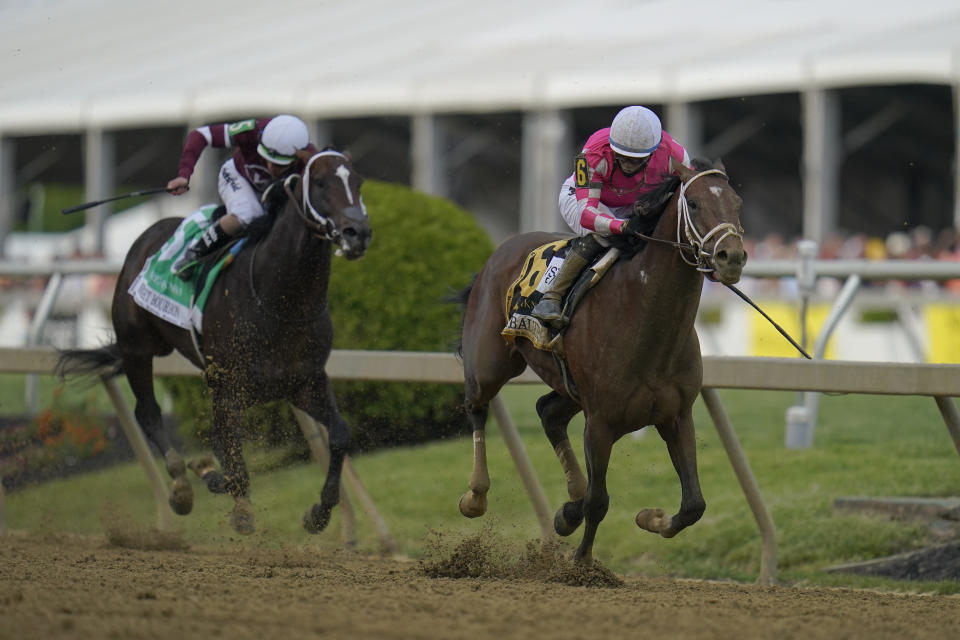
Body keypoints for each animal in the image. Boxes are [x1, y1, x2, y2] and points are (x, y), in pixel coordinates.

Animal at [56, 150, 372, 536]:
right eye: (322, 183)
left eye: (358, 181)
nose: (358, 233)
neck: (279, 298)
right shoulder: (228, 385)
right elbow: (233, 458)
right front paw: (232, 499)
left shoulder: (304, 381)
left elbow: (339, 433)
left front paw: (319, 512)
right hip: (137, 348)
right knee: (147, 412)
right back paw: (180, 486)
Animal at [460, 158, 752, 564]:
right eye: (693, 204)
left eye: (736, 203)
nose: (731, 258)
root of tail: (502, 249)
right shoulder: (599, 422)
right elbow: (599, 501)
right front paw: (581, 562)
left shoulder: (676, 415)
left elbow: (694, 504)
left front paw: (650, 517)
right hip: (490, 363)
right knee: (477, 406)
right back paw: (475, 495)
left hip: (568, 386)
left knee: (548, 411)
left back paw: (569, 506)